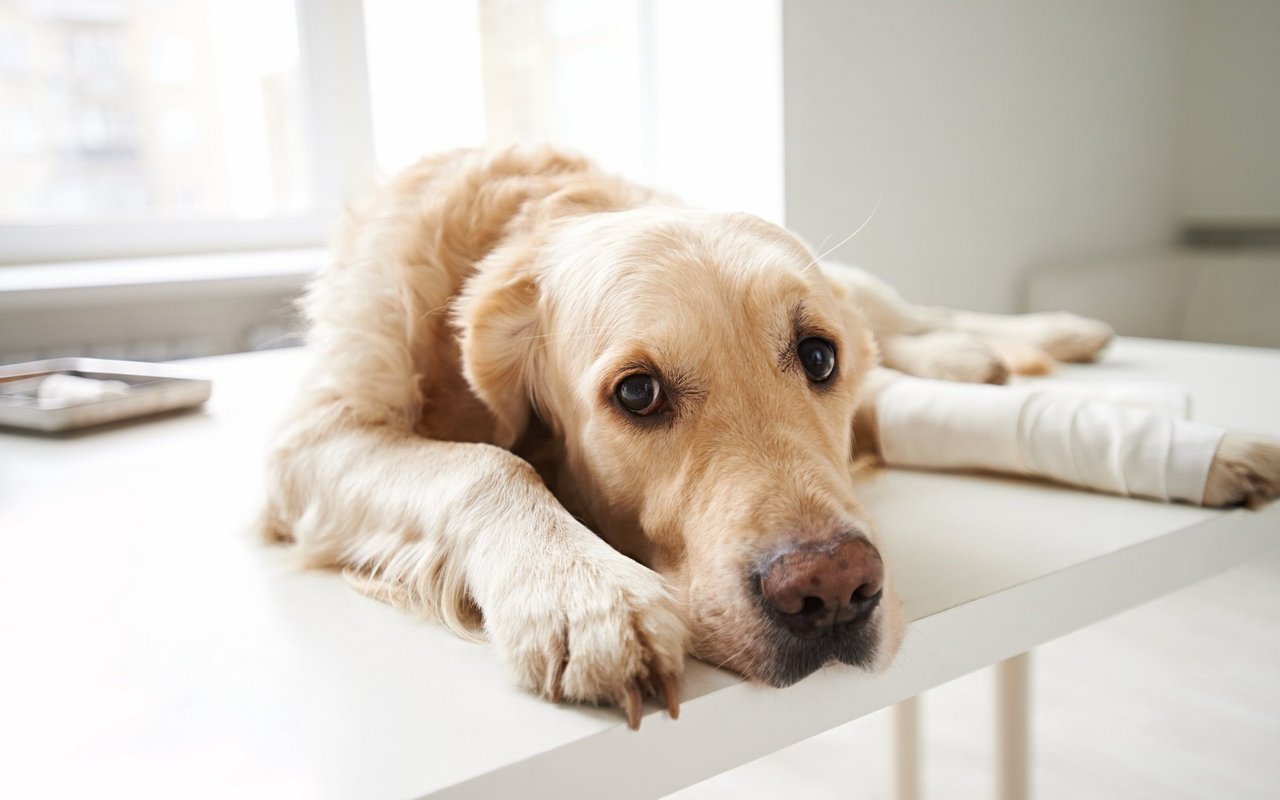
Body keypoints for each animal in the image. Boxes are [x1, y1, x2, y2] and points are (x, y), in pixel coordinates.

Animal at [262, 146, 1280, 727]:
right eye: (637, 392)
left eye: (817, 357)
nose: (833, 592)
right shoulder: (311, 442)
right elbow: (485, 462)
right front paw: (584, 593)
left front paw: (1208, 450)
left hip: (863, 288)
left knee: (909, 315)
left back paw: (1046, 335)